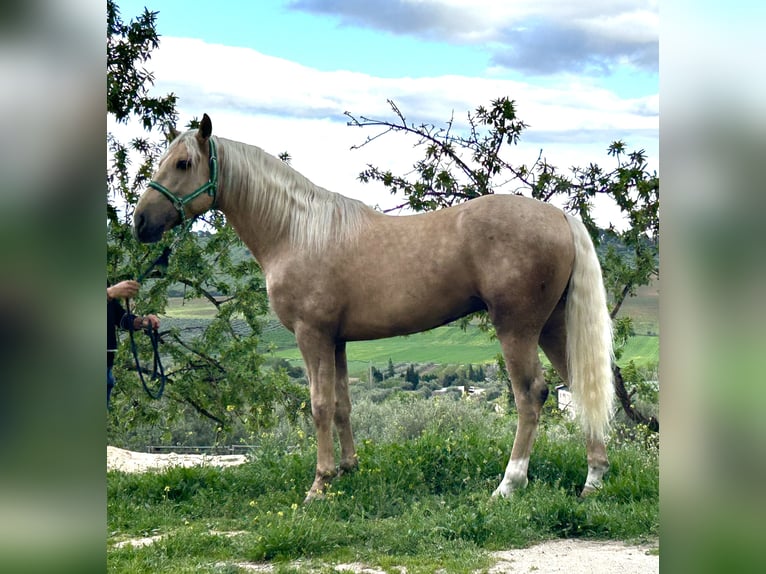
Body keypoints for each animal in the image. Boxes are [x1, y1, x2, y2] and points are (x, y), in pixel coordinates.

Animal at [132, 115, 616, 502]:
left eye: (183, 164)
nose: (140, 223)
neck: (297, 231)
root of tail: (560, 216)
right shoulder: (338, 341)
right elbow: (342, 404)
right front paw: (347, 469)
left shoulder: (311, 335)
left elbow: (319, 404)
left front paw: (319, 485)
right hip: (553, 327)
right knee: (578, 387)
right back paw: (593, 479)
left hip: (517, 328)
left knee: (531, 394)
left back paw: (509, 484)